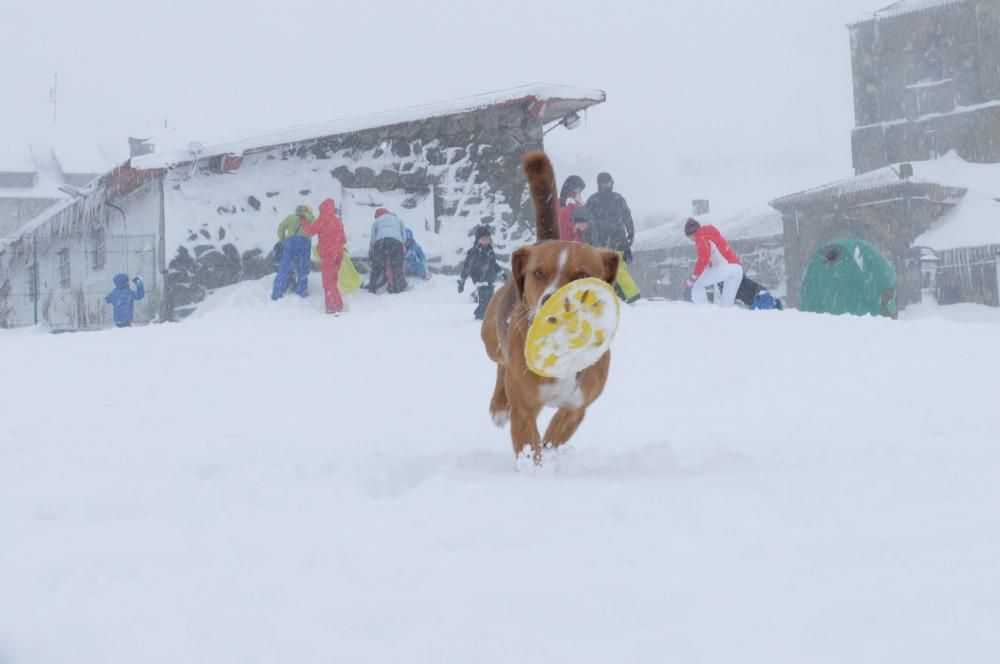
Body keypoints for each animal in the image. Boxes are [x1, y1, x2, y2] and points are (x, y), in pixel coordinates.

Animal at [480, 151, 620, 464]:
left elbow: (552, 438)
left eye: (582, 275)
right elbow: (530, 446)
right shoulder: (523, 410)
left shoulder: (575, 408)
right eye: (538, 273)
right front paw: (533, 471)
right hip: (492, 341)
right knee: (500, 366)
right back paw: (498, 406)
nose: (551, 300)